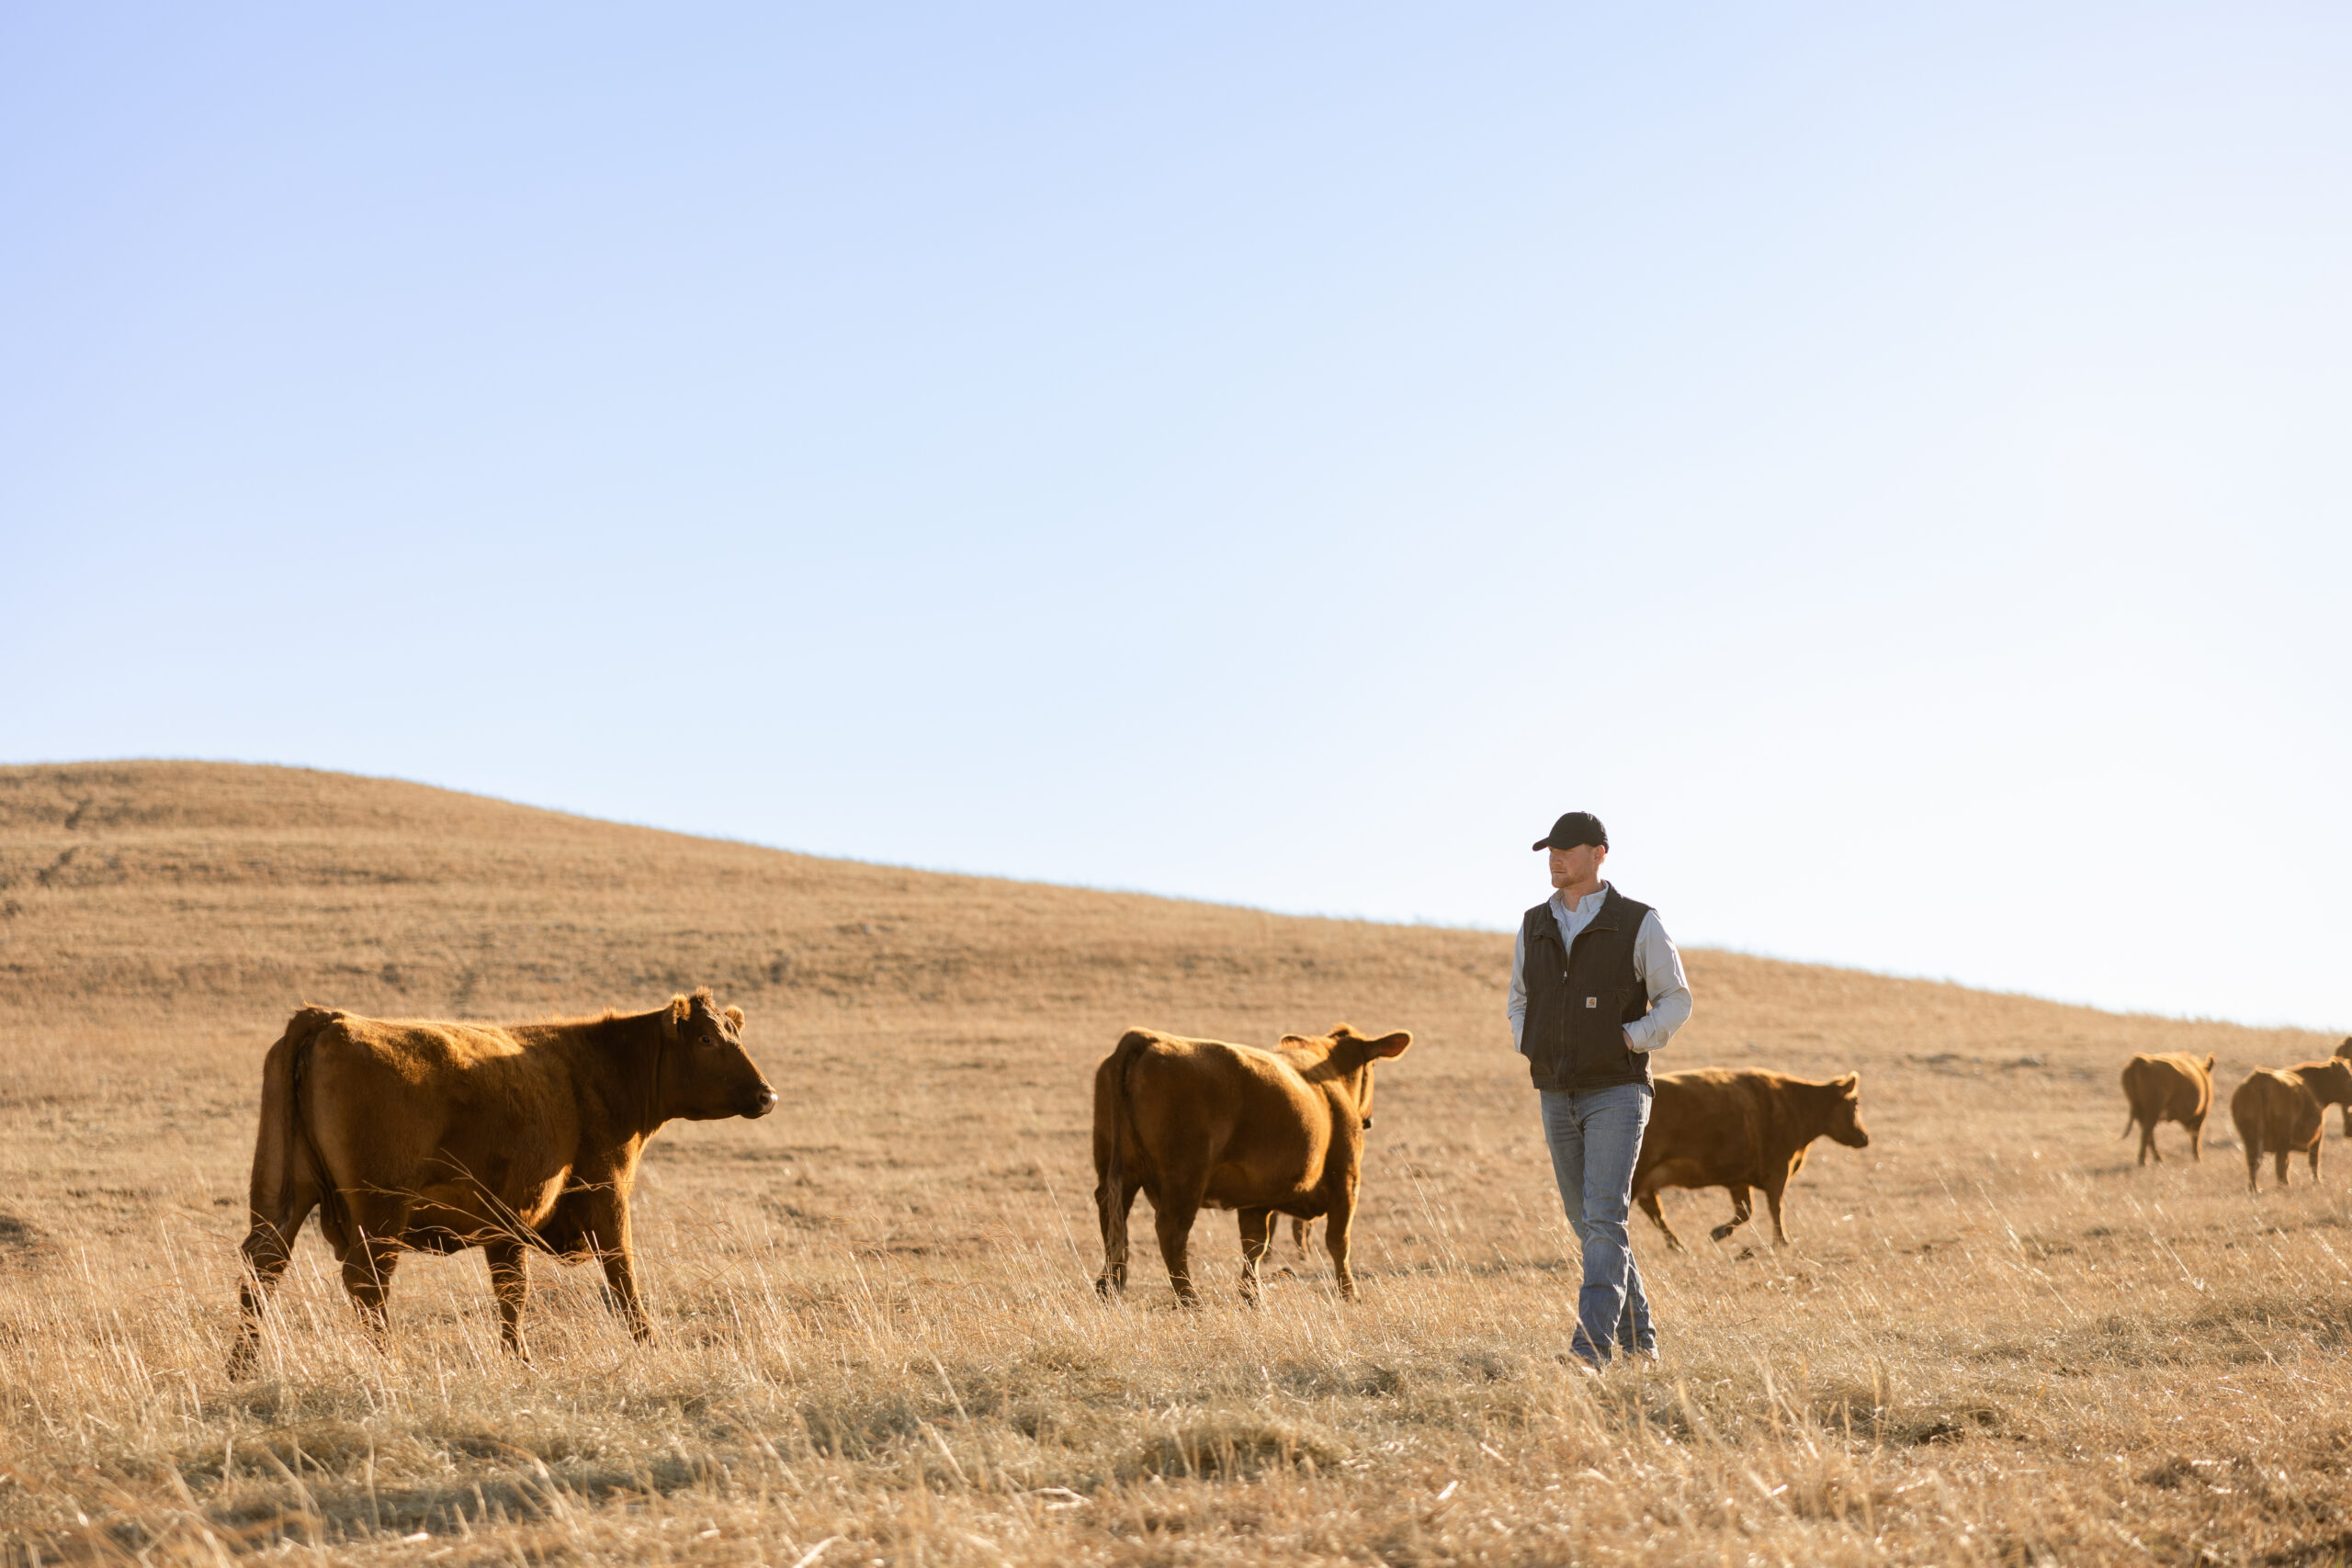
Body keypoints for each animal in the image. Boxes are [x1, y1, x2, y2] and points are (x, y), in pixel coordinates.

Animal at [224, 991, 771, 1372]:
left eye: (733, 1034)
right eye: (706, 1039)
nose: (767, 1095)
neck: (599, 1066)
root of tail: (328, 1019)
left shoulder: (505, 1223)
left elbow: (512, 1293)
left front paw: (519, 1360)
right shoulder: (607, 1195)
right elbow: (623, 1279)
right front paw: (650, 1345)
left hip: (281, 1196)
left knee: (262, 1267)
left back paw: (241, 1369)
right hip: (379, 1213)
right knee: (367, 1281)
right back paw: (386, 1363)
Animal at [1091, 1024, 1401, 1306]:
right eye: (1372, 1065)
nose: (1368, 1120)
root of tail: (1145, 1037)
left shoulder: (1255, 1199)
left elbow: (1254, 1245)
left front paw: (1251, 1295)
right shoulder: (1346, 1180)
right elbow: (1338, 1241)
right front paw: (1349, 1293)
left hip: (1118, 1173)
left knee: (1112, 1221)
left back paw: (1110, 1286)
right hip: (1184, 1179)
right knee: (1171, 1231)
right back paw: (1190, 1298)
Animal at [1627, 1066, 1862, 1250]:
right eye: (1855, 1104)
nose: (1865, 1137)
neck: (1793, 1104)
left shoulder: (1738, 1180)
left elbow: (1746, 1211)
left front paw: (1717, 1233)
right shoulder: (1778, 1171)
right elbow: (1775, 1207)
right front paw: (1782, 1241)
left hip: (1647, 1182)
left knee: (1655, 1213)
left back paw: (1679, 1246)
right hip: (1638, 1176)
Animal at [2220, 1062, 2352, 1194]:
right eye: (2348, 1076)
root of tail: (2261, 1079)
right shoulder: (2318, 1136)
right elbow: (2314, 1161)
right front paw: (2318, 1183)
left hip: (2251, 1140)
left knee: (2253, 1163)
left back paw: (2254, 1188)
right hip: (2282, 1139)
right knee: (2280, 1164)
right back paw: (2282, 1186)